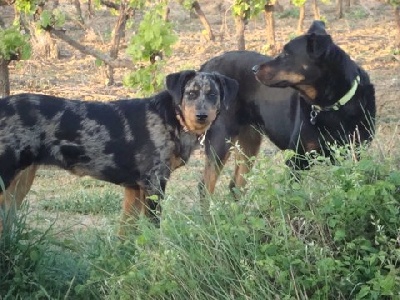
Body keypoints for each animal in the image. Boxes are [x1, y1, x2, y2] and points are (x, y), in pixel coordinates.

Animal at [0, 70, 238, 234]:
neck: (170, 118)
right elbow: (153, 232)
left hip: (20, 183)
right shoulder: (154, 184)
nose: (201, 116)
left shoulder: (134, 189)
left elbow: (126, 236)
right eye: (190, 94)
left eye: (213, 95)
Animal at [199, 21, 376, 197]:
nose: (254, 69)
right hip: (220, 138)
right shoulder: (296, 160)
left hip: (249, 141)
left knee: (235, 186)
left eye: (286, 54)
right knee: (205, 186)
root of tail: (205, 68)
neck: (332, 106)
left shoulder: (355, 155)